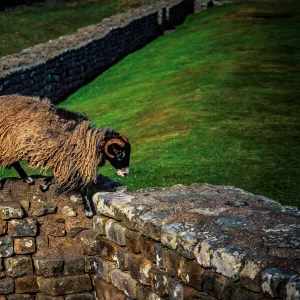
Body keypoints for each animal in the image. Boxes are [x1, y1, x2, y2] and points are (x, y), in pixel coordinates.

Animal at [0, 95, 131, 214]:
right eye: (119, 153)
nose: (125, 173)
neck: (85, 139)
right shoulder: (68, 159)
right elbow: (78, 183)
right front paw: (88, 210)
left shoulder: (69, 160)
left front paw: (45, 184)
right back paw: (25, 179)